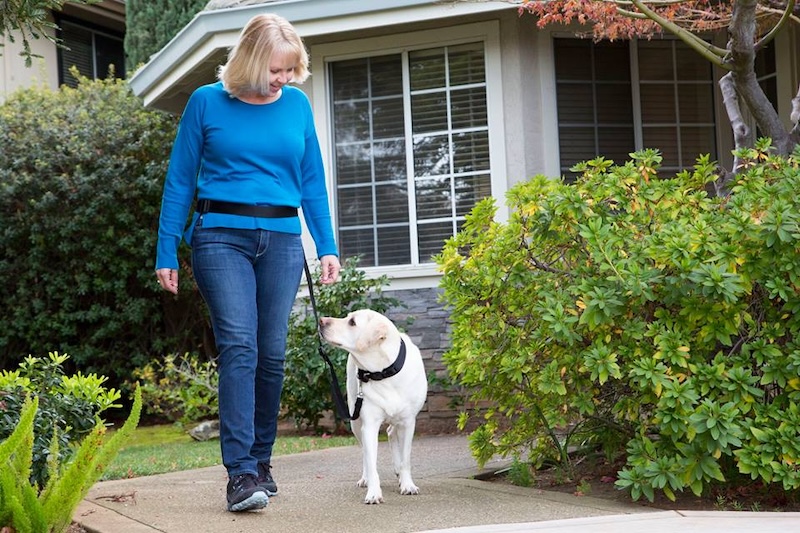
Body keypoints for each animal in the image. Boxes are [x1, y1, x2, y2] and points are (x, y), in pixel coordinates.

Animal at [318, 308, 428, 502]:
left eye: (352, 322)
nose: (321, 320)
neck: (384, 372)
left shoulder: (408, 423)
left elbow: (406, 459)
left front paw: (408, 484)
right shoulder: (369, 425)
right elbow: (371, 463)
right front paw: (373, 492)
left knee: (391, 433)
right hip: (355, 420)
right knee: (364, 451)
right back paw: (365, 479)